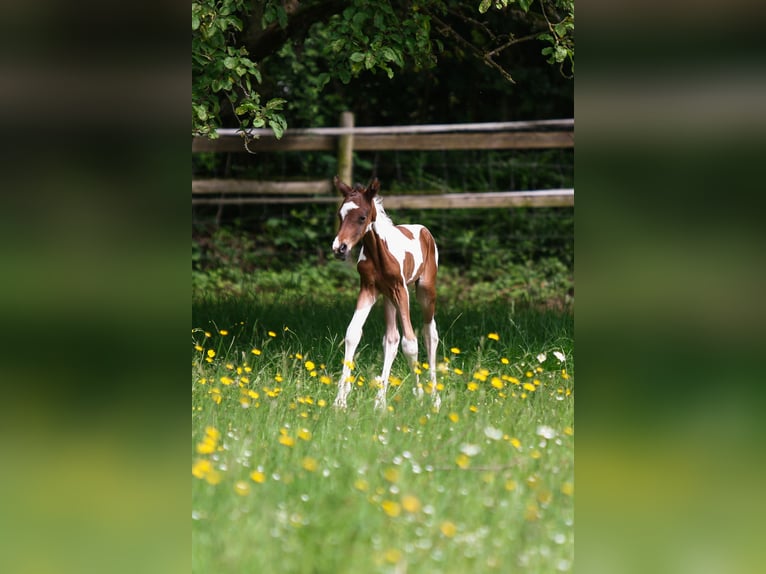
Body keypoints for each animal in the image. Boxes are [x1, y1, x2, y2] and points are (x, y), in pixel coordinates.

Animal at [332, 178, 444, 412]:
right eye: (340, 215)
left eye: (362, 217)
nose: (339, 248)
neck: (379, 252)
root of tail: (423, 229)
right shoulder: (368, 289)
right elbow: (353, 333)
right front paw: (340, 401)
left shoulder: (401, 290)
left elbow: (410, 343)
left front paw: (420, 395)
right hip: (388, 298)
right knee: (391, 339)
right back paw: (381, 399)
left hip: (424, 291)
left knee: (430, 333)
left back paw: (434, 397)